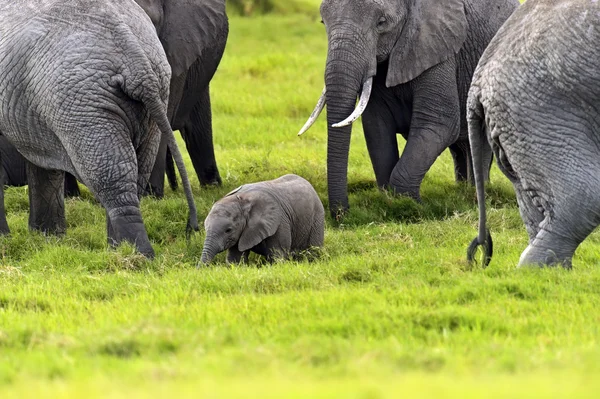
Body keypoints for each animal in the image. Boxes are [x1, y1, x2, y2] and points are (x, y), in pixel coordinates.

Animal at [0, 0, 199, 258]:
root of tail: (137, 59)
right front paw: (47, 240)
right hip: (149, 96)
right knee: (135, 172)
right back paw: (120, 251)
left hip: (83, 101)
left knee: (110, 174)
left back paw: (138, 257)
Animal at [298, 0, 516, 219]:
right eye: (323, 22)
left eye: (381, 22)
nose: (342, 215)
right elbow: (377, 128)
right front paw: (388, 200)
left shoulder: (436, 48)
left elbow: (438, 124)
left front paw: (410, 205)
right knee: (461, 147)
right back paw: (463, 191)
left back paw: (477, 195)